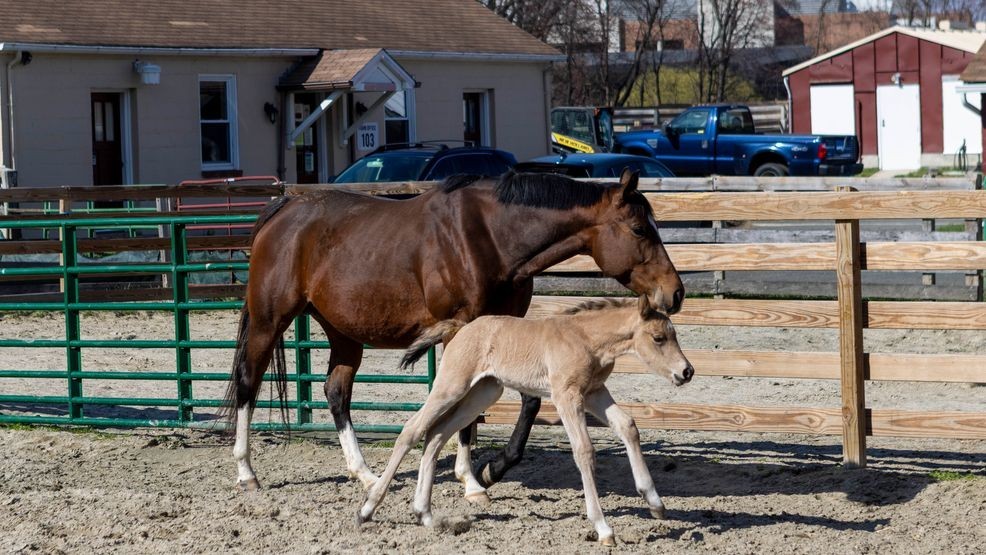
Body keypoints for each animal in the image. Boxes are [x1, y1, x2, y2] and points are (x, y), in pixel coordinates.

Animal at [222, 169, 684, 494]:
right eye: (639, 228)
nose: (675, 292)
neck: (489, 237)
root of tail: (283, 211)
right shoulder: (461, 333)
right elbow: (465, 409)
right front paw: (471, 478)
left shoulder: (505, 333)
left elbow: (527, 403)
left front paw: (492, 468)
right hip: (268, 320)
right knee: (248, 382)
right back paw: (246, 472)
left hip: (344, 333)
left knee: (337, 393)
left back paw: (367, 475)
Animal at [357, 296, 694, 546]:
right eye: (659, 338)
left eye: (675, 334)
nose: (686, 371)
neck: (585, 339)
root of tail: (461, 328)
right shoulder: (566, 396)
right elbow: (584, 451)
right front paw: (603, 528)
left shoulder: (595, 391)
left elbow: (628, 426)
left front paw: (655, 503)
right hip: (452, 385)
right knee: (412, 430)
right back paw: (368, 508)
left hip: (484, 391)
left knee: (437, 433)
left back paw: (424, 514)